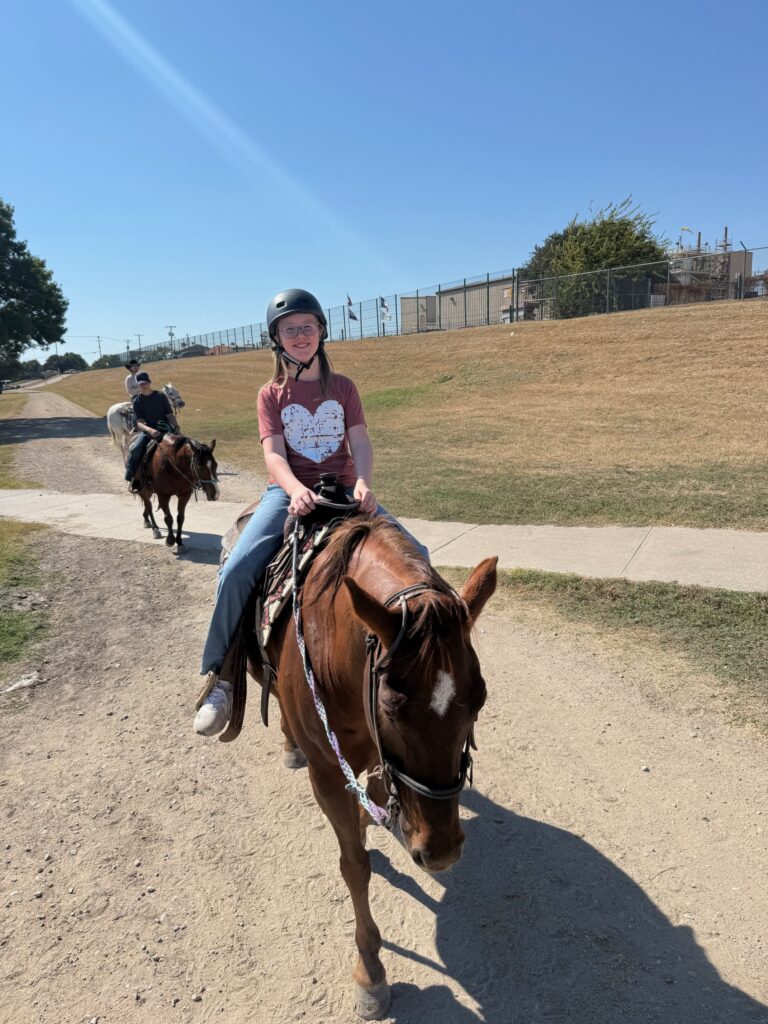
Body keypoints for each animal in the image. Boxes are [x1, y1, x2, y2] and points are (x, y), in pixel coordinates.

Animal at [251, 516, 497, 1019]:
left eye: (480, 699)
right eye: (390, 705)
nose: (440, 852)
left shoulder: (379, 764)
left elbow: (376, 803)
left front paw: (373, 820)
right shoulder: (327, 774)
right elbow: (354, 865)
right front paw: (370, 972)